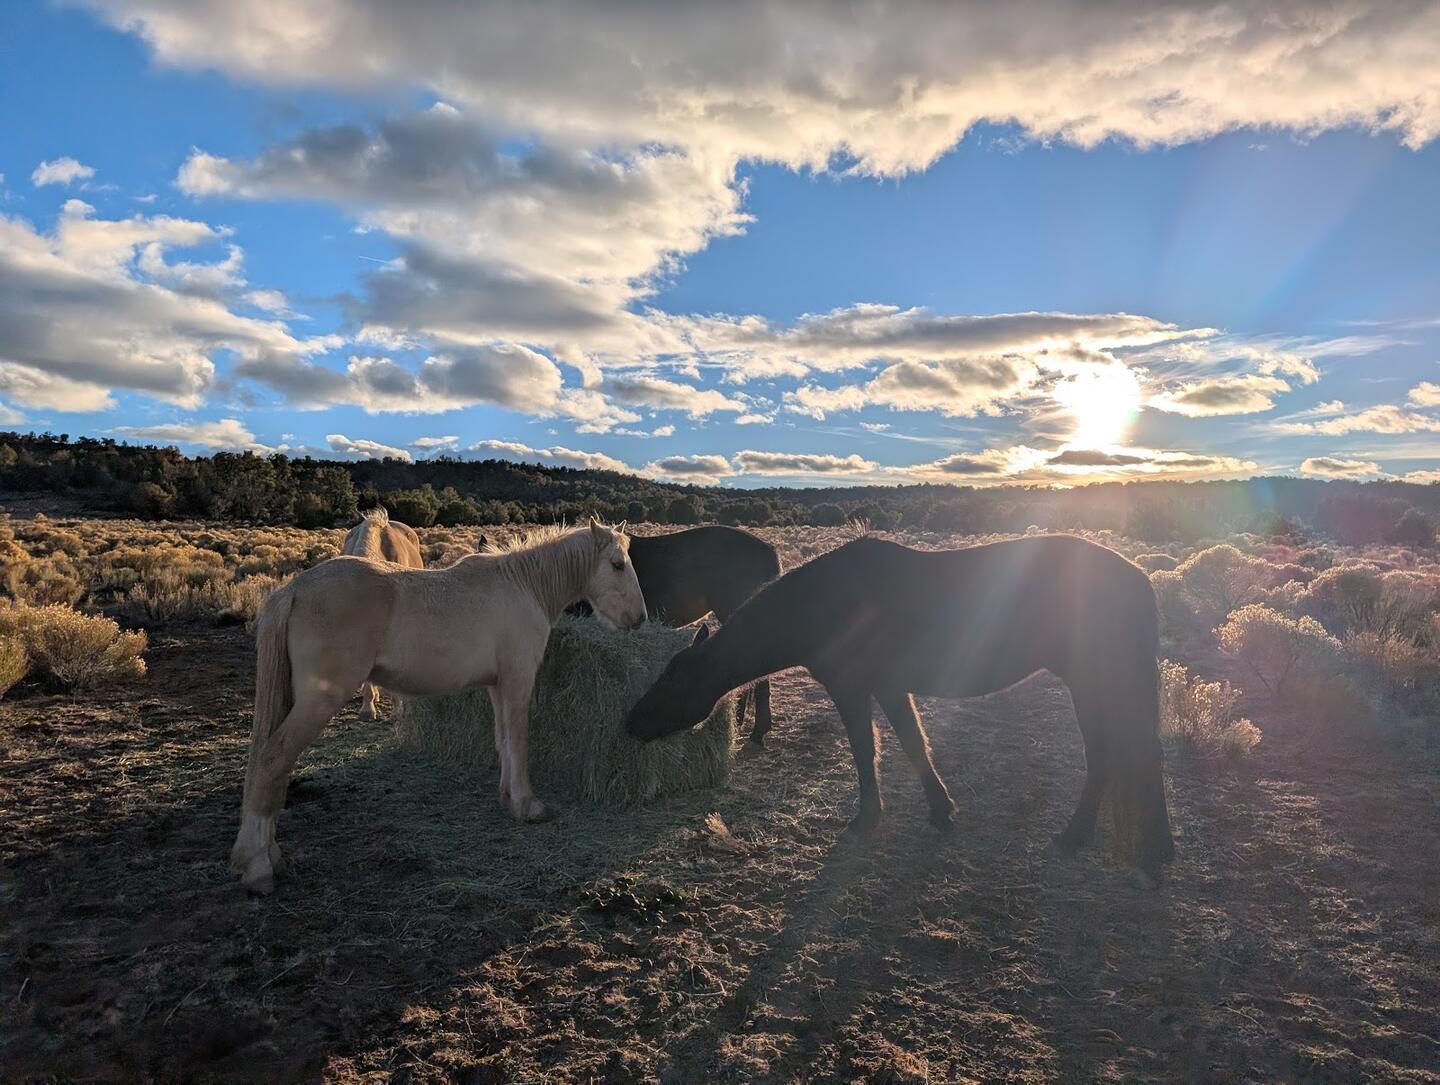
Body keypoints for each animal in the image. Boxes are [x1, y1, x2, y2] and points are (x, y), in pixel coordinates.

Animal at [625, 534, 1175, 878]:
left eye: (674, 680)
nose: (631, 723)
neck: (822, 605)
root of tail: (1140, 579)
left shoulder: (852, 689)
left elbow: (866, 752)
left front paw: (868, 819)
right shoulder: (889, 689)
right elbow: (913, 744)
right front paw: (940, 808)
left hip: (1100, 680)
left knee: (1127, 754)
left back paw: (1124, 843)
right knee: (1120, 756)